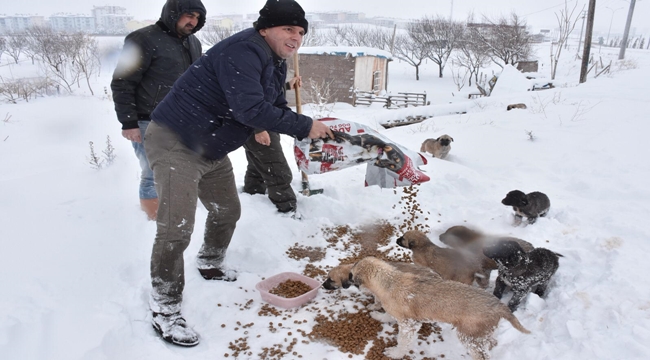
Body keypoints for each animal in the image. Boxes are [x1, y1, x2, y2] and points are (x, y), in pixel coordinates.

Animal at [350, 258, 528, 358]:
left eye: (352, 276)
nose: (349, 283)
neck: (389, 280)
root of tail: (499, 305)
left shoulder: (409, 325)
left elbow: (403, 343)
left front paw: (394, 354)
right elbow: (387, 315)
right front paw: (377, 316)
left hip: (469, 336)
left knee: (483, 355)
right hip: (481, 334)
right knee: (491, 343)